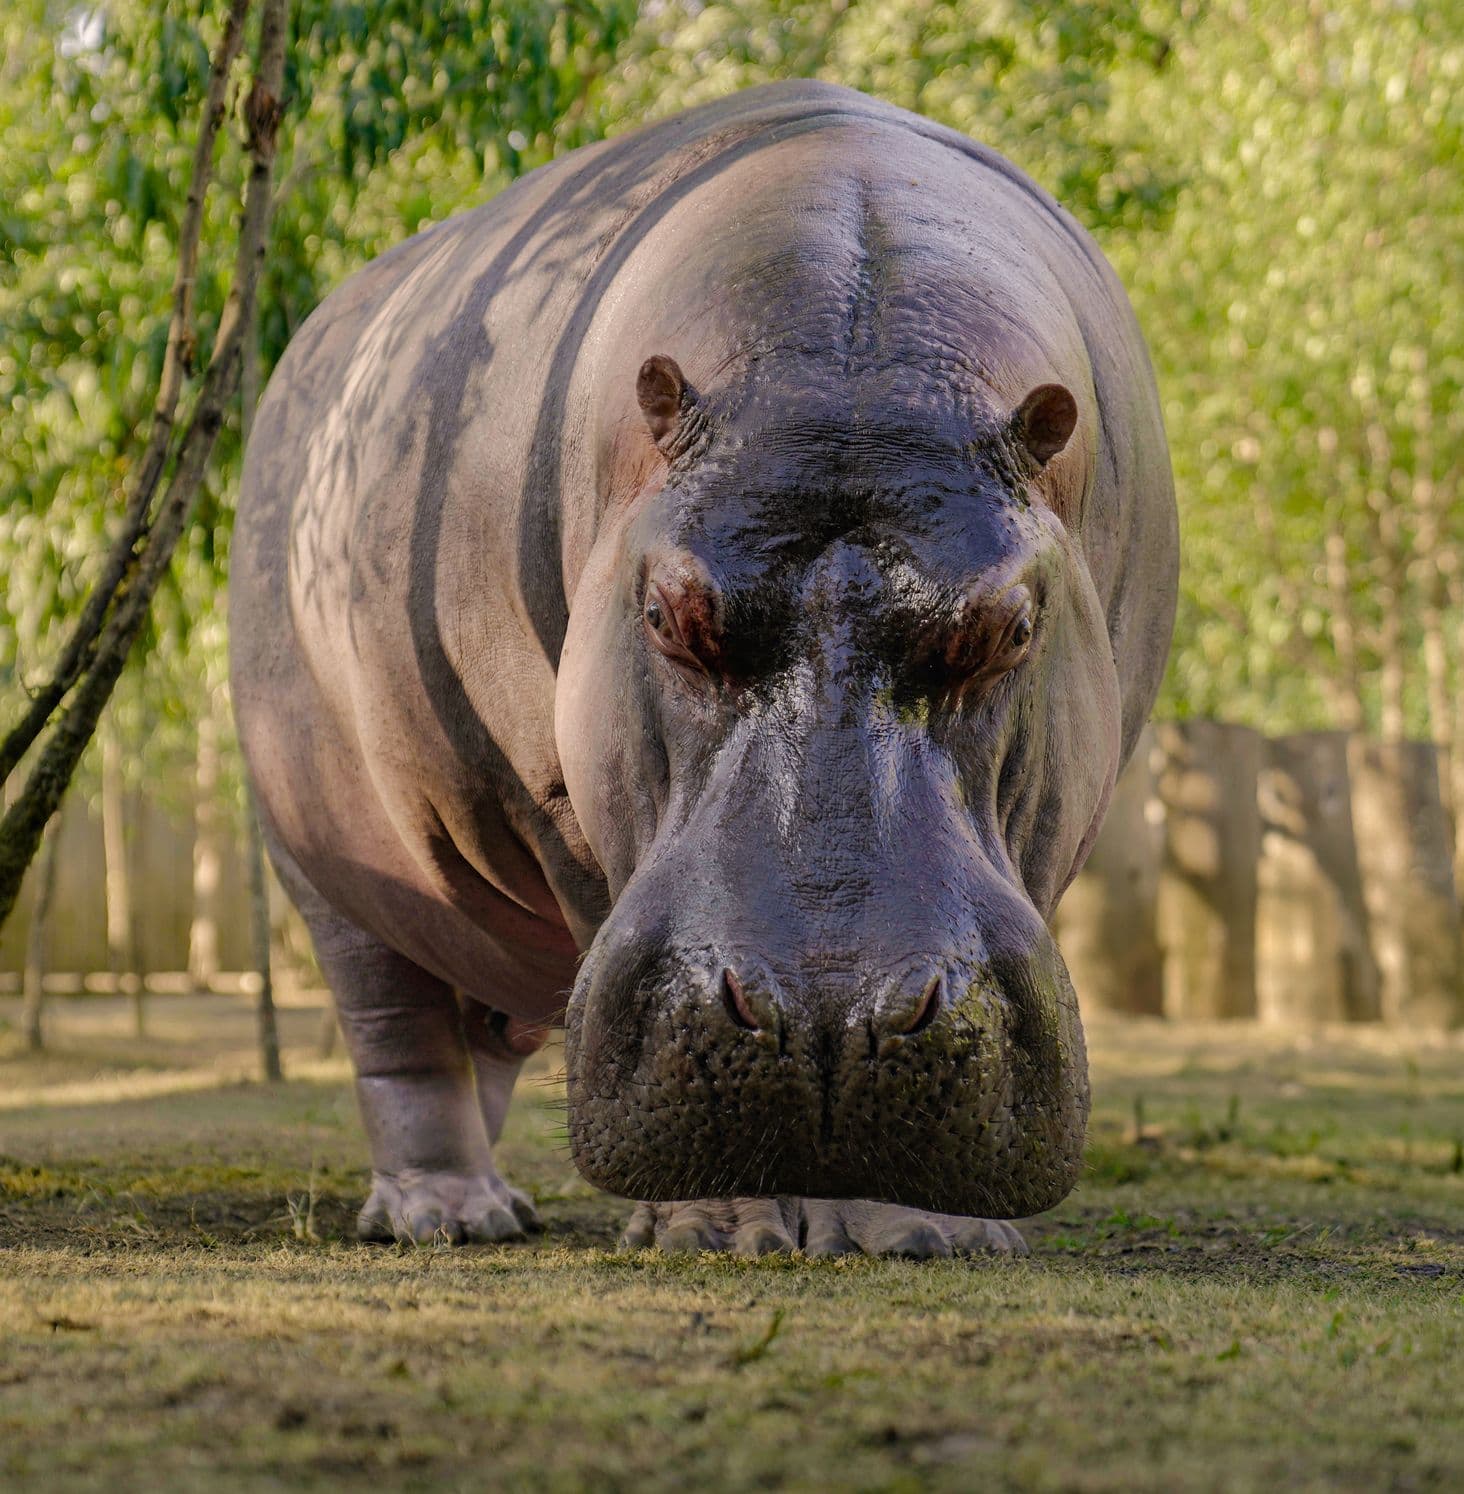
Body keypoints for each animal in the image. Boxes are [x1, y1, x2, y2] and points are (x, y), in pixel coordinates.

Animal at [230, 80, 1178, 1257]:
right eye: (666, 613)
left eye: (1009, 628)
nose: (830, 1018)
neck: (852, 365)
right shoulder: (549, 793)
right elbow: (588, 891)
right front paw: (723, 1231)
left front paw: (923, 1232)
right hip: (323, 863)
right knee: (401, 1035)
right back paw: (445, 1219)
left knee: (484, 1025)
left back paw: (504, 1210)